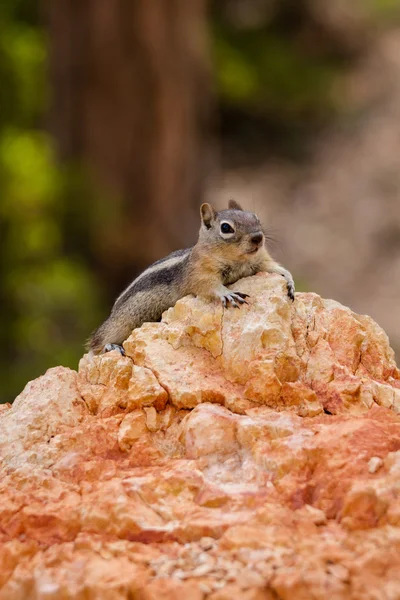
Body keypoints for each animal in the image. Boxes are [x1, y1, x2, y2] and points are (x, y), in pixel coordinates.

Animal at [88, 199, 294, 354]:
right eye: (226, 228)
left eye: (255, 218)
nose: (258, 237)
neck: (238, 260)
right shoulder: (199, 272)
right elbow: (208, 286)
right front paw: (226, 293)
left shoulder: (260, 262)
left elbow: (275, 268)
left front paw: (289, 281)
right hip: (122, 323)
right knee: (98, 344)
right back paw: (110, 346)